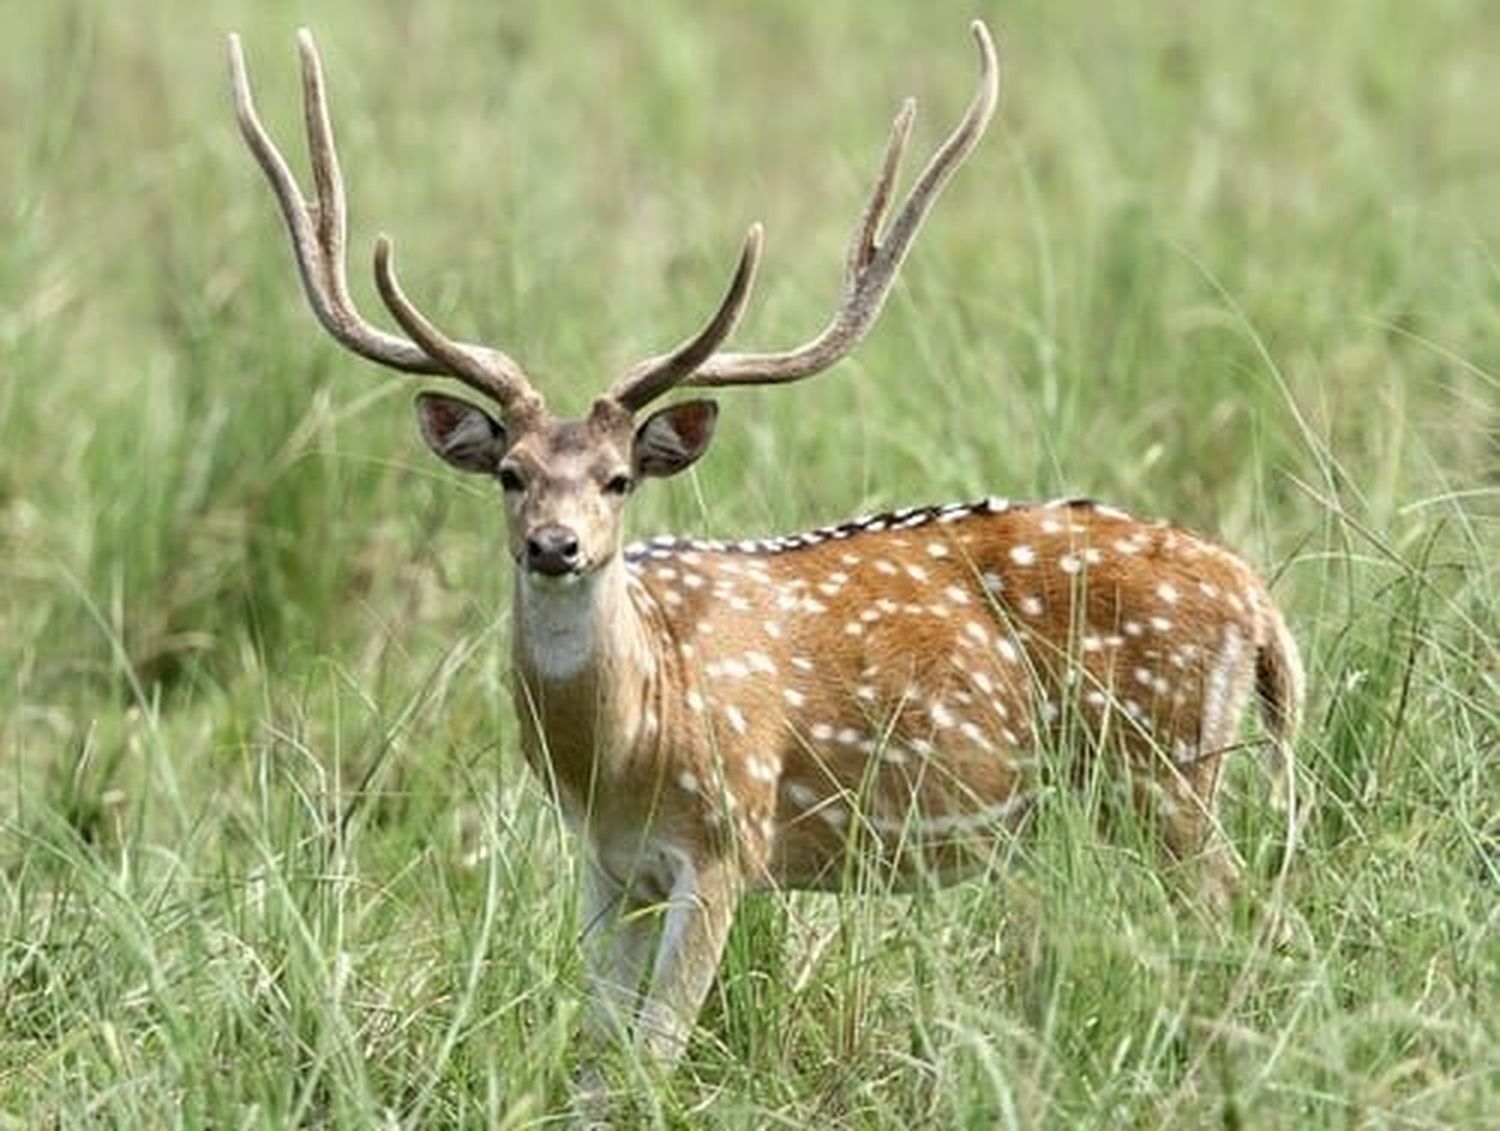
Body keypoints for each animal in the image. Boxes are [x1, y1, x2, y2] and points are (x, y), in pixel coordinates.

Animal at [225, 22, 1302, 1068]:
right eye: (510, 473)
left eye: (619, 478)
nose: (555, 547)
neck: (625, 741)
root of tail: (1256, 598)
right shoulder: (608, 864)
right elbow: (596, 1056)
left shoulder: (725, 843)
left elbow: (653, 1055)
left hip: (1165, 769)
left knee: (1252, 915)